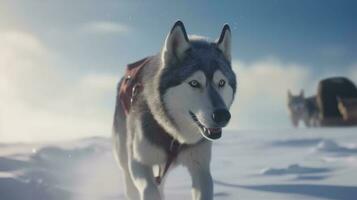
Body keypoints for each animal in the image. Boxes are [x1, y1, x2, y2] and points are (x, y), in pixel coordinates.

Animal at [112, 20, 236, 200]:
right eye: (194, 83)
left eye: (221, 82)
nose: (222, 115)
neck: (174, 135)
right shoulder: (139, 163)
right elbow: (150, 190)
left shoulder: (201, 169)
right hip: (124, 154)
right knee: (130, 183)